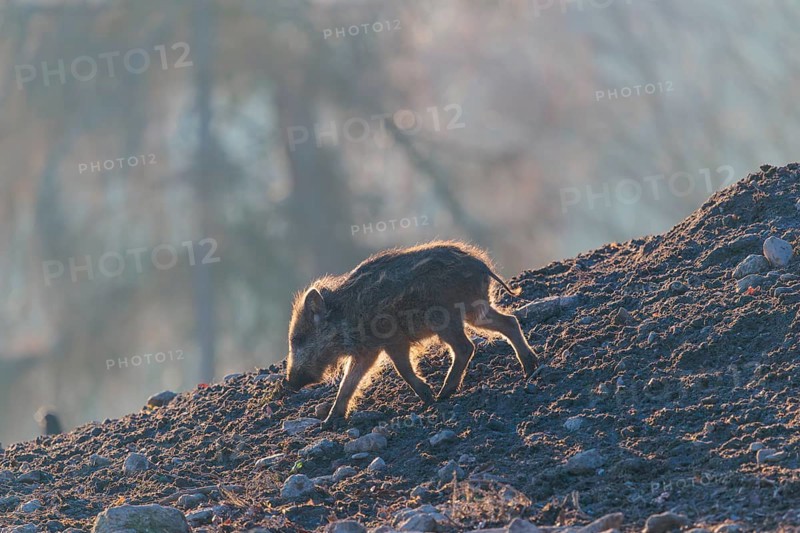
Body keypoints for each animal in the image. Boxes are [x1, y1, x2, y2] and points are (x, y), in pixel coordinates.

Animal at [285, 240, 537, 424]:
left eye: (298, 339)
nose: (290, 383)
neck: (346, 315)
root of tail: (481, 266)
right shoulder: (367, 351)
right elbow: (349, 382)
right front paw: (329, 422)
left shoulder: (393, 341)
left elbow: (402, 369)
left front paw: (427, 396)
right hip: (475, 311)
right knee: (509, 322)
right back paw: (529, 367)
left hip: (447, 320)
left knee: (466, 347)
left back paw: (443, 393)